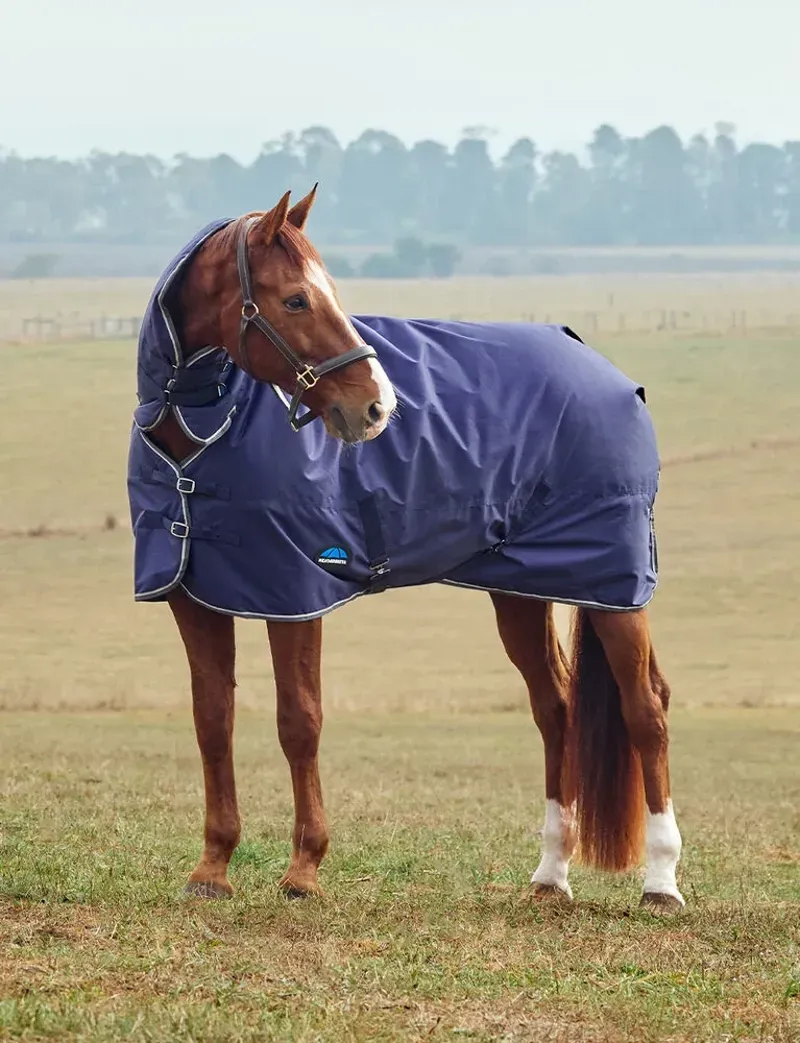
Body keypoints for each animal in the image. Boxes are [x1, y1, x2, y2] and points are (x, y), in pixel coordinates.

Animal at [128, 186, 685, 912]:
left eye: (329, 292)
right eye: (296, 300)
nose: (376, 406)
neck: (201, 434)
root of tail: (604, 367)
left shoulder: (297, 594)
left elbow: (299, 721)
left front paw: (303, 870)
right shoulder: (194, 598)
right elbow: (212, 721)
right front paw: (212, 869)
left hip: (614, 586)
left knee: (646, 709)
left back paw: (661, 883)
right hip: (522, 591)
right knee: (555, 710)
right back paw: (550, 875)